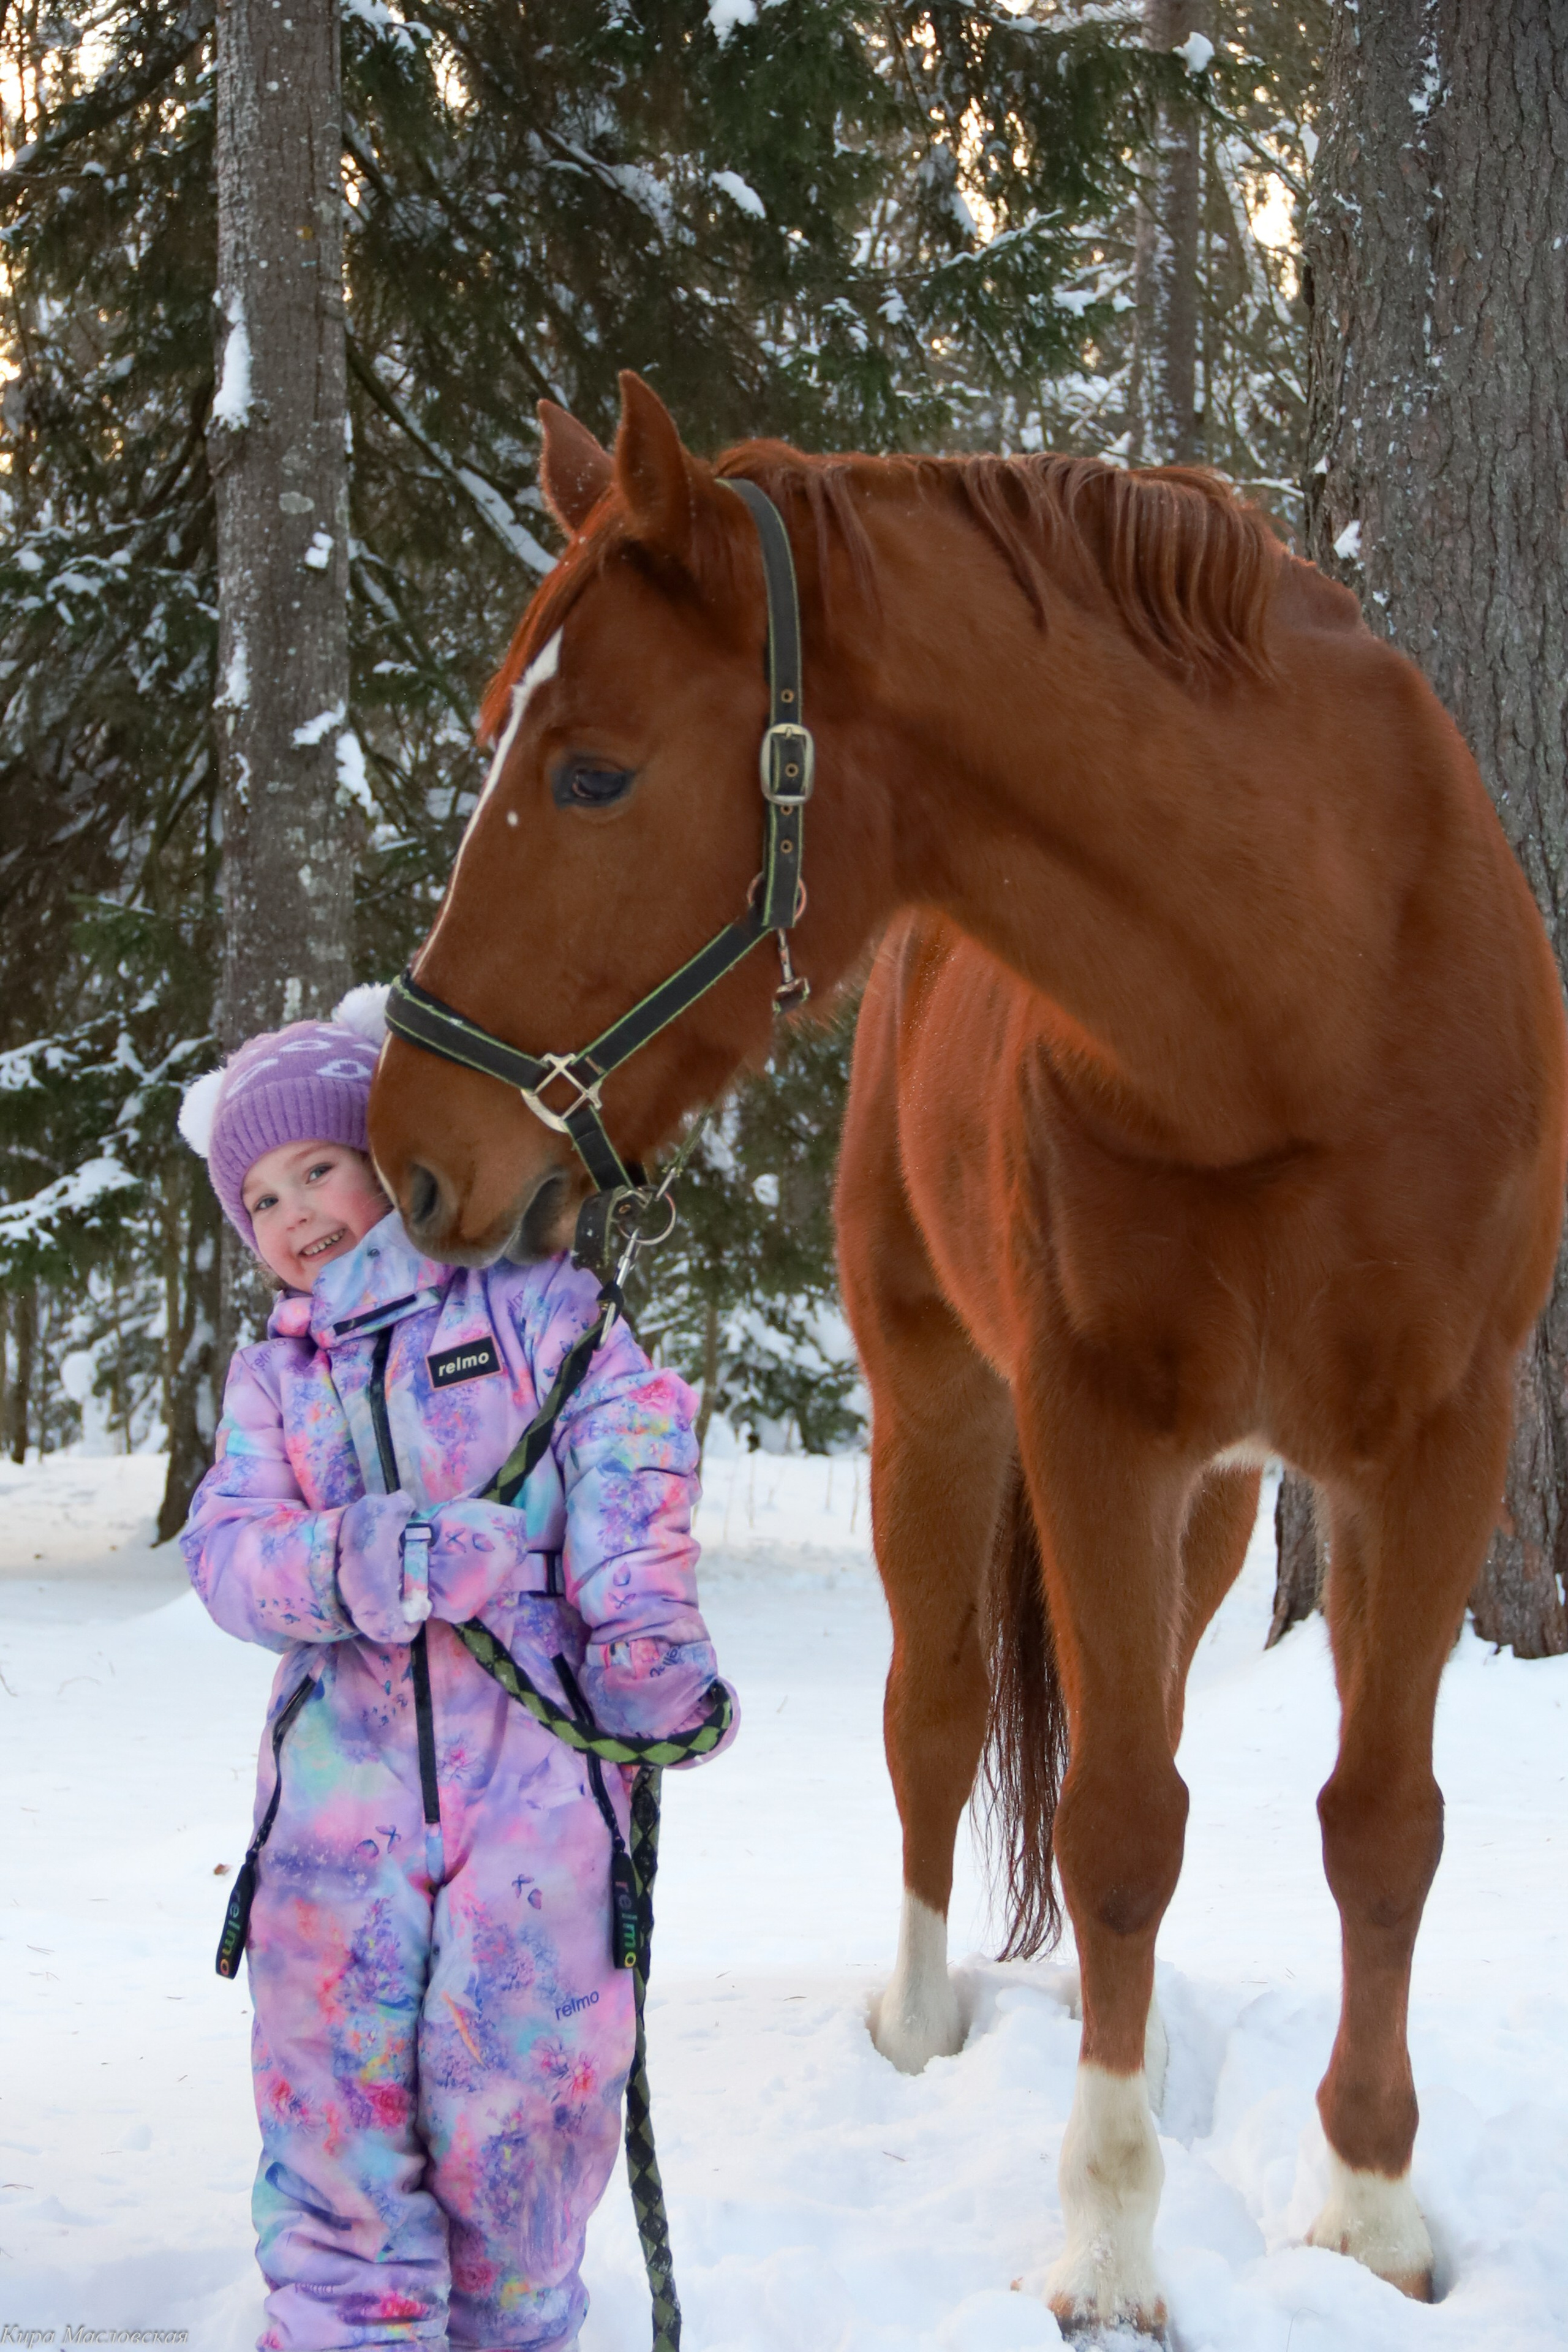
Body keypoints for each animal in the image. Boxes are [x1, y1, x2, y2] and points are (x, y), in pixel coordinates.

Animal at [367, 373, 1568, 2337]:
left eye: (589, 768)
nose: (410, 1149)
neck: (1306, 1016)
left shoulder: (1430, 1445)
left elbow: (1380, 1821)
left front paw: (1372, 2215)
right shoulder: (1089, 1430)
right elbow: (1116, 1824)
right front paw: (1107, 2247)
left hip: (1213, 1504)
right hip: (936, 1417)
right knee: (934, 1720)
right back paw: (930, 2019)